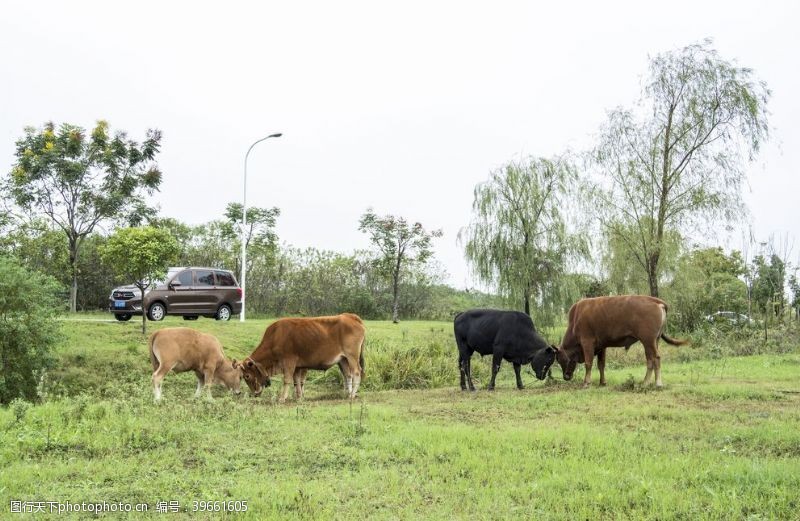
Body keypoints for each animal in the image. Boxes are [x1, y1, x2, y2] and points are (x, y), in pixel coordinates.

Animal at [236, 312, 364, 402]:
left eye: (247, 376)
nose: (255, 394)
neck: (275, 336)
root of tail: (350, 316)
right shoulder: (297, 366)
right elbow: (296, 381)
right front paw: (298, 397)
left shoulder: (289, 362)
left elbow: (287, 380)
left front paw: (282, 398)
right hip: (343, 360)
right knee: (348, 375)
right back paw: (347, 394)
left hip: (352, 356)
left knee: (356, 372)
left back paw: (352, 394)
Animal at [556, 296, 688, 386]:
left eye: (561, 359)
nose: (566, 376)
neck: (576, 319)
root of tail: (656, 301)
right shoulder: (601, 347)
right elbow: (601, 365)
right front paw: (602, 382)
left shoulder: (587, 343)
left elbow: (589, 364)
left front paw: (586, 383)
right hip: (653, 342)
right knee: (650, 360)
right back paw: (645, 382)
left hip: (648, 341)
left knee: (656, 358)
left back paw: (658, 383)